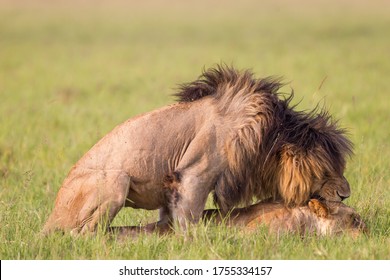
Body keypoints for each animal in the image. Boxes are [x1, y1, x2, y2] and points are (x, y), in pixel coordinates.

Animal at [42, 65, 354, 234]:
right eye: (328, 170)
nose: (346, 194)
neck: (266, 136)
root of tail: (50, 217)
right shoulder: (194, 174)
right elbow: (189, 222)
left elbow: (168, 219)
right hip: (117, 180)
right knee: (82, 233)